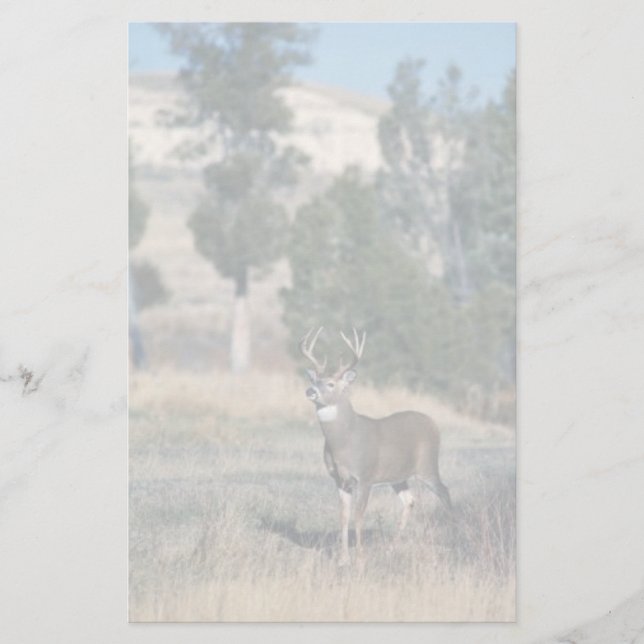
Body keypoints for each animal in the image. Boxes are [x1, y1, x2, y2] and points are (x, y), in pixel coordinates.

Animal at [300, 327, 451, 566]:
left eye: (331, 383)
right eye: (316, 380)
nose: (310, 391)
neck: (345, 442)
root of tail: (434, 423)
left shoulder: (365, 476)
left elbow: (358, 515)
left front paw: (360, 558)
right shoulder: (339, 479)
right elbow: (343, 516)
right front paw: (343, 559)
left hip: (427, 465)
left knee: (445, 492)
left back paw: (455, 535)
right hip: (398, 476)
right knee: (409, 501)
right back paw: (390, 549)